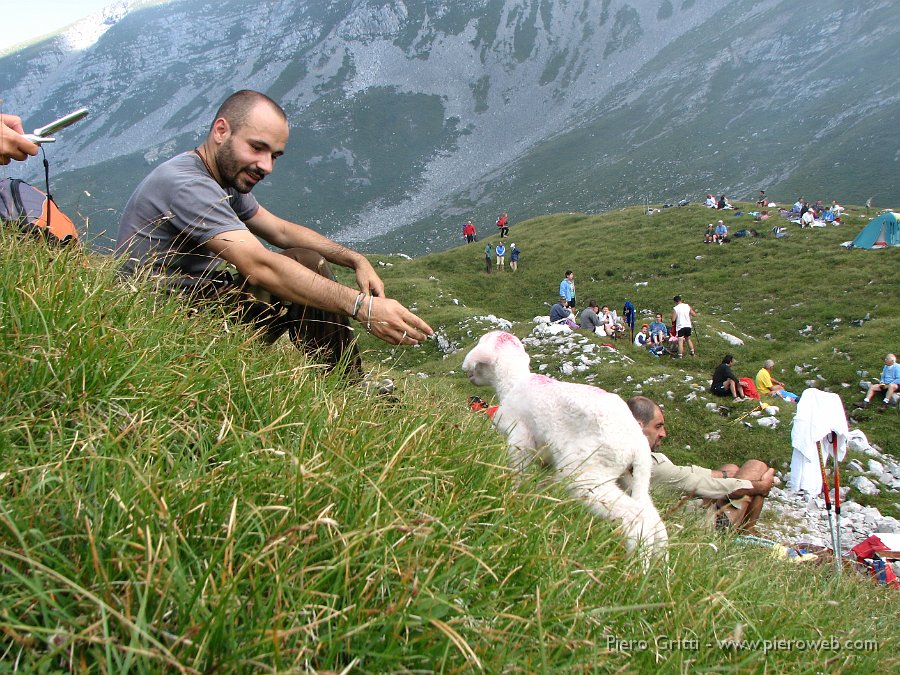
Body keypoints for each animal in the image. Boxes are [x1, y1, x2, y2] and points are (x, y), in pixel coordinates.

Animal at [464, 332, 668, 560]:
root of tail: (639, 444)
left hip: (586, 473)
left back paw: (635, 563)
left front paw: (514, 495)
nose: (469, 376)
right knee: (655, 521)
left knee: (636, 516)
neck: (513, 382)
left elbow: (518, 470)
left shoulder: (520, 437)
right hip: (628, 476)